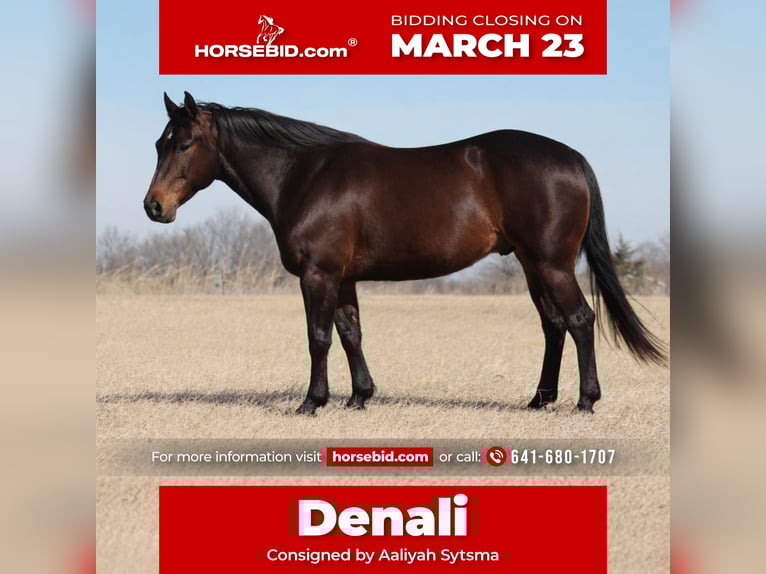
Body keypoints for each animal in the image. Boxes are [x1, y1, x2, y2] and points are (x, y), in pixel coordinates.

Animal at [144, 92, 667, 415]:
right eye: (158, 144)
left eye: (184, 144)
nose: (154, 206)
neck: (303, 175)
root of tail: (571, 157)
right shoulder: (343, 278)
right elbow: (350, 333)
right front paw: (360, 397)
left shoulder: (318, 274)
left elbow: (318, 337)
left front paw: (312, 402)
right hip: (530, 263)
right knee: (553, 325)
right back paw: (539, 400)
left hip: (552, 263)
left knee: (579, 320)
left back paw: (585, 400)